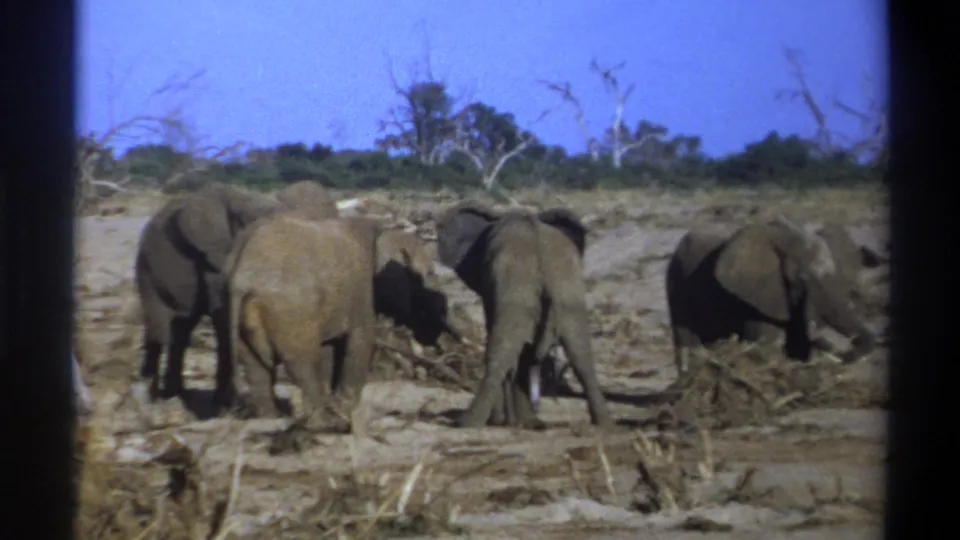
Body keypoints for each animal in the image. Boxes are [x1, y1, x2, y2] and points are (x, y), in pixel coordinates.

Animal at [134, 180, 338, 408]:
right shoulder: (212, 256)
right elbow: (223, 317)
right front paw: (225, 406)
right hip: (147, 270)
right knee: (160, 330)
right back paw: (152, 397)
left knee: (181, 330)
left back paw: (173, 394)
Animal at [225, 215, 382, 430]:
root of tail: (243, 273)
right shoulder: (361, 289)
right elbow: (361, 337)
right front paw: (343, 407)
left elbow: (329, 346)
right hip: (292, 309)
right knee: (303, 361)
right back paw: (324, 422)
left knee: (253, 363)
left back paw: (270, 417)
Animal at [435, 201, 613, 430]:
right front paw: (522, 421)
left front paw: (505, 421)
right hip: (567, 291)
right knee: (581, 354)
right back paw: (604, 424)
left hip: (520, 290)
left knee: (500, 352)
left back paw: (467, 422)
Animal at [665, 215, 880, 378]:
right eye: (802, 279)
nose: (853, 342)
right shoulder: (757, 295)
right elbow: (764, 342)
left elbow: (797, 344)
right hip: (676, 283)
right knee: (687, 341)